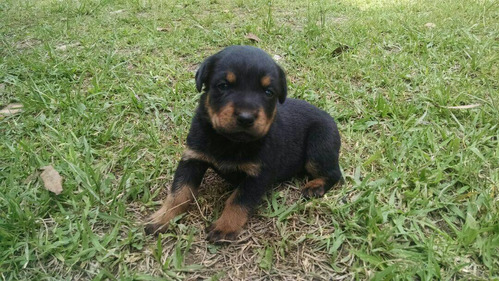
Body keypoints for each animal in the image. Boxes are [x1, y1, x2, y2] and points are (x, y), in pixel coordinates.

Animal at [143, 45, 342, 241]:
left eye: (268, 92)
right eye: (223, 86)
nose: (246, 118)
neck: (230, 141)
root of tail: (330, 118)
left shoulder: (259, 174)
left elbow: (238, 200)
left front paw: (224, 227)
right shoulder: (192, 158)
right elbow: (179, 192)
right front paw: (162, 218)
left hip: (319, 146)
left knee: (334, 173)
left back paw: (315, 187)